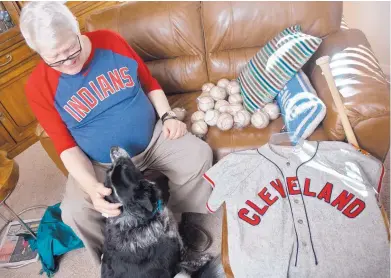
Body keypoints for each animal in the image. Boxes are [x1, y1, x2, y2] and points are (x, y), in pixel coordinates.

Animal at [101, 147, 225, 276]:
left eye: (111, 169)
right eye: (125, 167)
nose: (112, 148)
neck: (137, 222)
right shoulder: (178, 257)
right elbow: (190, 260)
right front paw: (204, 259)